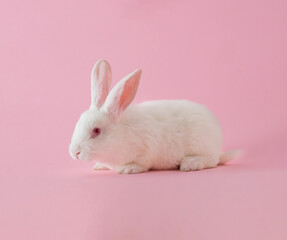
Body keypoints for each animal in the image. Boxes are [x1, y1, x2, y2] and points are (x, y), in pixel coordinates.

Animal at [69, 59, 241, 173]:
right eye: (77, 125)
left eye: (96, 131)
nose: (74, 153)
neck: (120, 135)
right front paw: (99, 166)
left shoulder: (146, 150)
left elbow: (141, 164)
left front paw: (127, 169)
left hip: (202, 146)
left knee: (212, 161)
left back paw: (190, 163)